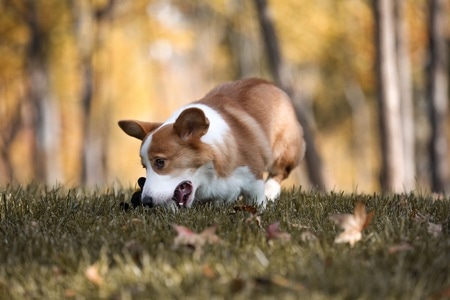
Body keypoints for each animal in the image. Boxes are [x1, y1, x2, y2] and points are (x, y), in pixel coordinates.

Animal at [118, 78, 306, 209]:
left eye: (160, 162)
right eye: (144, 166)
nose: (146, 202)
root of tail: (269, 84)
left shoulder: (253, 175)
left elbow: (256, 199)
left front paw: (260, 208)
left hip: (284, 148)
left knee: (279, 171)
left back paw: (270, 190)